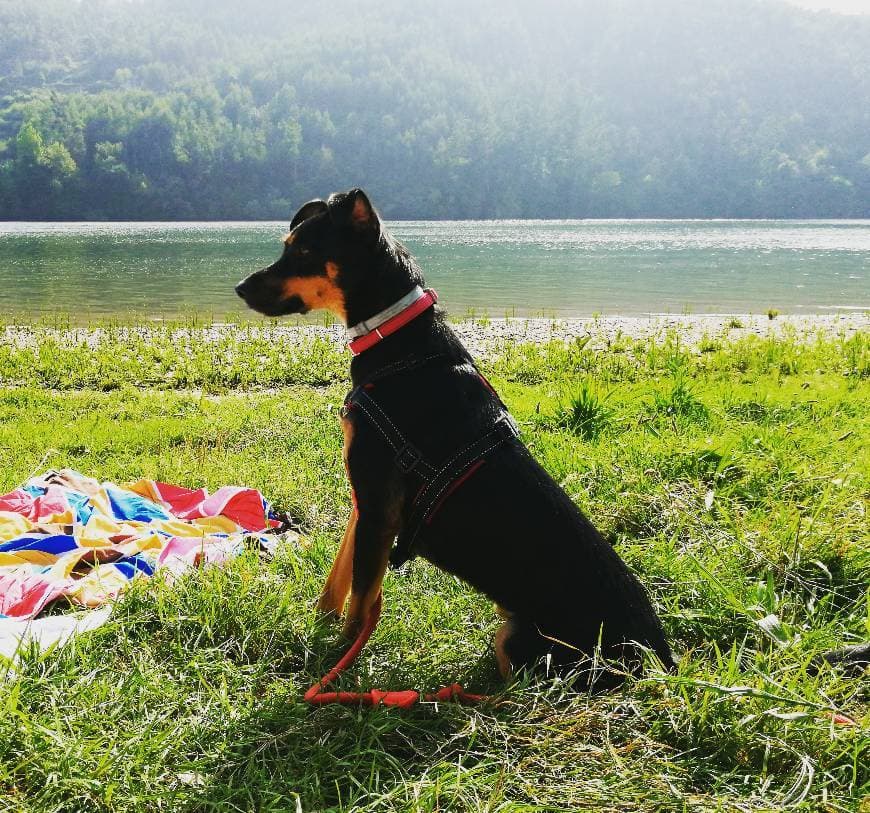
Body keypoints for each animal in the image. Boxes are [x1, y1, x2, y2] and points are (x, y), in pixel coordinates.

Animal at [235, 190, 676, 684]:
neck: (399, 343)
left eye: (305, 252)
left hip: (522, 644)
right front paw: (314, 632)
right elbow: (338, 581)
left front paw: (337, 661)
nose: (240, 288)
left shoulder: (378, 509)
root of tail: (660, 659)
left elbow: (360, 604)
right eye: (287, 246)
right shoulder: (365, 504)